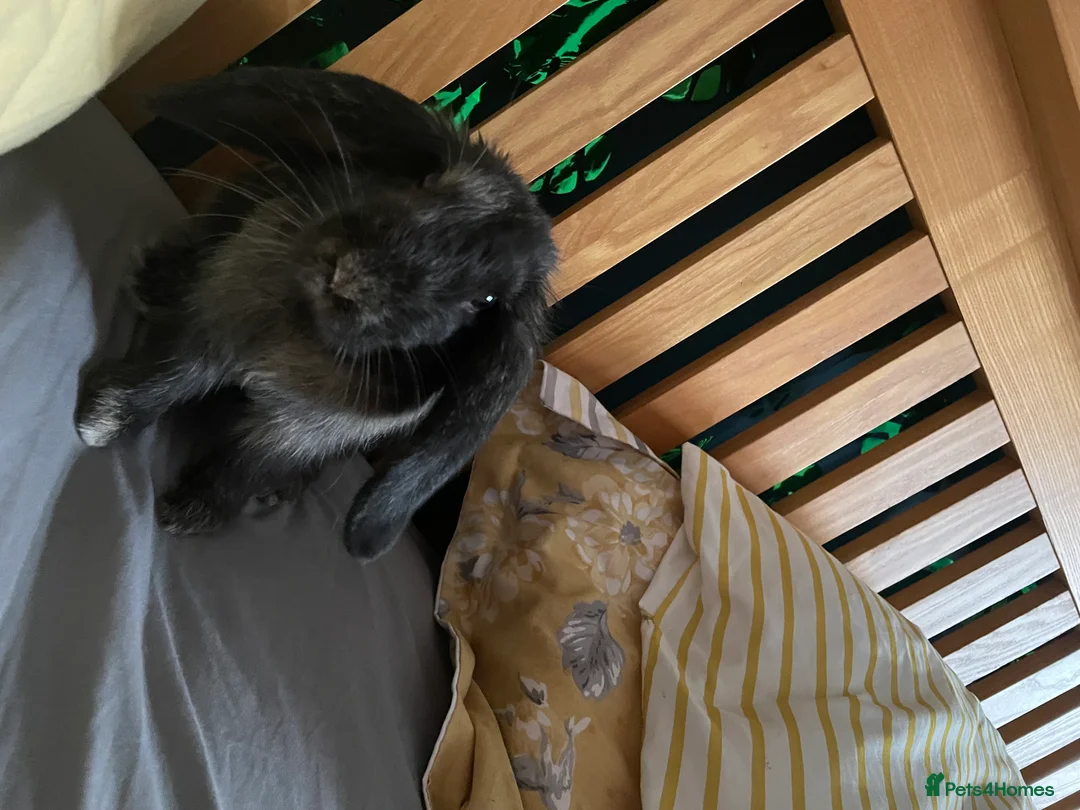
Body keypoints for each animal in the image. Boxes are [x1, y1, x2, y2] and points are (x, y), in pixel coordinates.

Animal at [74, 67, 556, 561]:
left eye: (486, 301)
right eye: (428, 180)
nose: (347, 278)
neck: (306, 329)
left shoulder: (299, 435)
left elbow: (246, 464)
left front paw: (189, 513)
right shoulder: (215, 328)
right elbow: (170, 376)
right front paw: (104, 421)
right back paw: (152, 278)